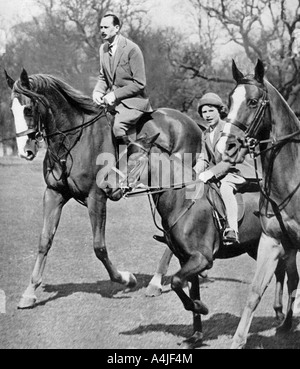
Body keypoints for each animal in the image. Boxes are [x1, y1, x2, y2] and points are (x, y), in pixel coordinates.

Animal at [217, 58, 298, 348]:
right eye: (229, 101)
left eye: (253, 102)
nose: (226, 146)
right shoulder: (273, 241)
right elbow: (254, 292)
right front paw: (238, 341)